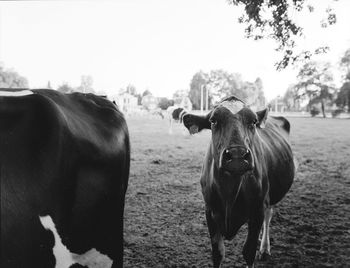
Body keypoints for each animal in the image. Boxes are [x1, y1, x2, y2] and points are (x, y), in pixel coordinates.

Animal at [182, 96, 294, 268]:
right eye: (213, 120)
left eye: (253, 121)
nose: (237, 155)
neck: (229, 190)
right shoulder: (210, 211)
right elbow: (217, 253)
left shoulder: (257, 209)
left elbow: (249, 251)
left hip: (270, 195)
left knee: (268, 215)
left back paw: (264, 248)